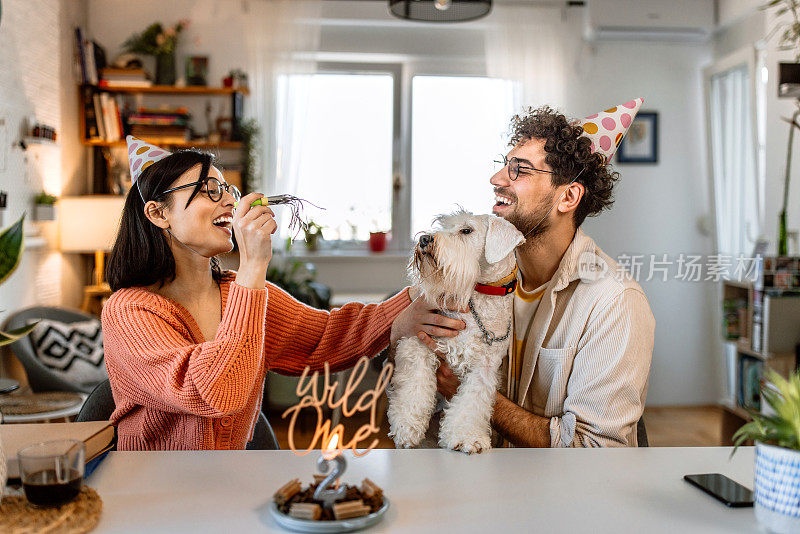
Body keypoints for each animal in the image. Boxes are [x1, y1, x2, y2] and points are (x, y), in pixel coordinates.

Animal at [388, 211, 524, 454]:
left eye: (467, 230)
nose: (424, 239)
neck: (478, 300)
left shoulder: (484, 367)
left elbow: (471, 403)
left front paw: (466, 437)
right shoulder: (418, 341)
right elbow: (415, 387)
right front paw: (407, 427)